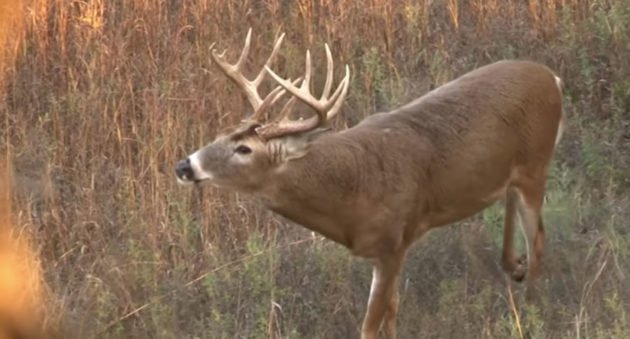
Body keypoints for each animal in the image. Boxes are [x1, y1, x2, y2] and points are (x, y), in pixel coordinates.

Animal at [177, 27, 568, 338]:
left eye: (244, 148)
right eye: (219, 134)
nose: (185, 165)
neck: (351, 197)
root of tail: (553, 78)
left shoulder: (392, 242)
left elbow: (370, 324)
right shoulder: (392, 248)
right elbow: (391, 313)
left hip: (536, 163)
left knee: (539, 237)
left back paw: (531, 308)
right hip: (515, 171)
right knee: (512, 207)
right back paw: (514, 268)